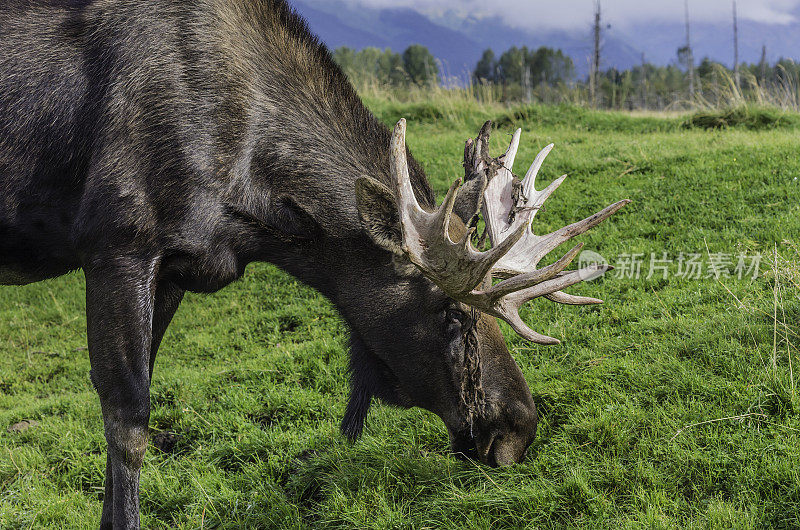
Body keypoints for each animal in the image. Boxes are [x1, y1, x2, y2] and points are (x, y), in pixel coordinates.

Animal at [0, 1, 628, 524]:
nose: (519, 427)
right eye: (454, 315)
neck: (252, 202)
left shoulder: (178, 264)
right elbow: (128, 419)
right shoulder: (118, 244)